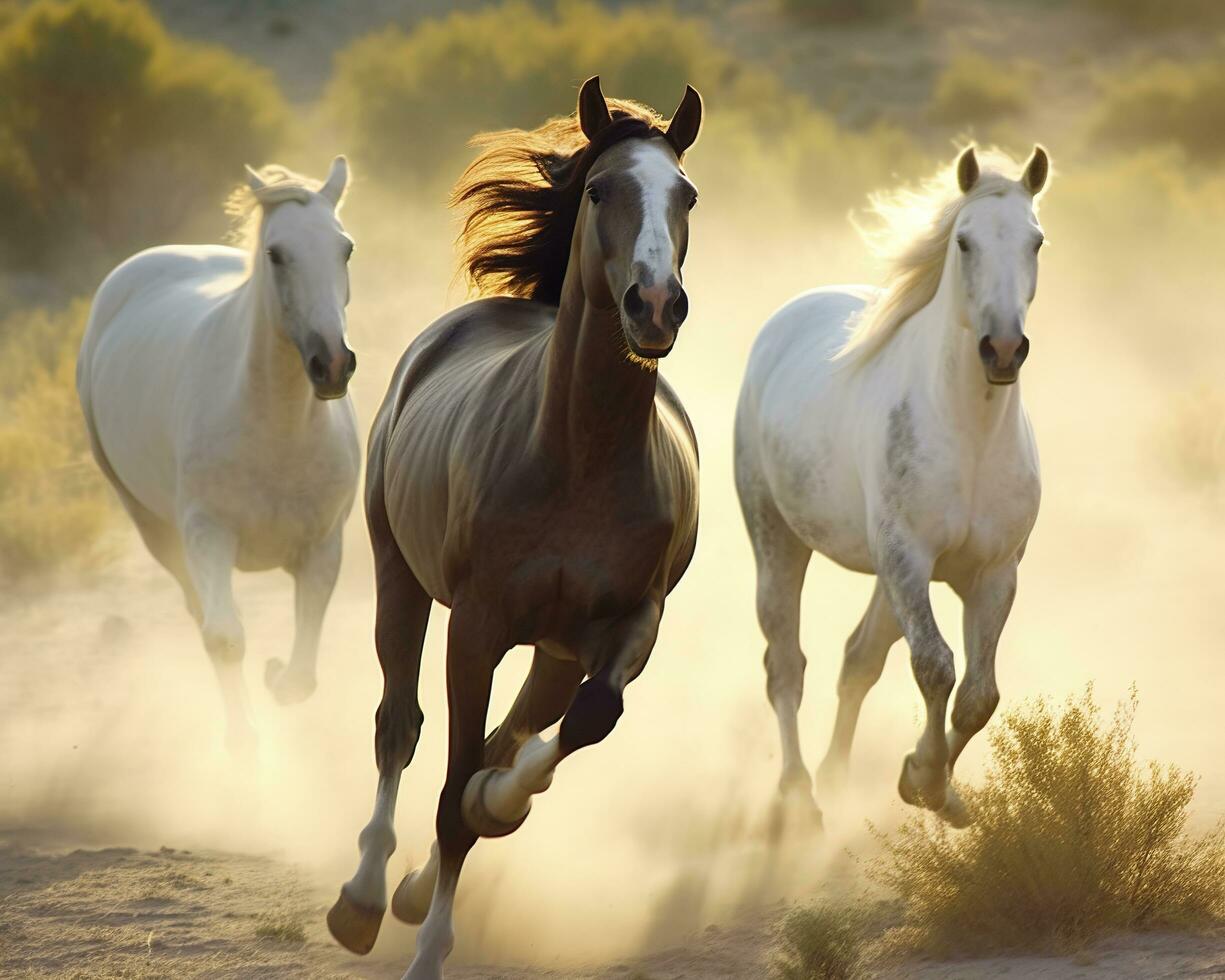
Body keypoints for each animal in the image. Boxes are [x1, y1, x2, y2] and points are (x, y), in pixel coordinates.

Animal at [76, 156, 360, 749]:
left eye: (345, 248)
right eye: (276, 253)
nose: (332, 365)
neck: (277, 432)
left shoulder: (324, 546)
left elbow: (301, 674)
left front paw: (276, 678)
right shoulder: (208, 534)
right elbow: (225, 638)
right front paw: (243, 741)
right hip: (155, 528)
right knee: (200, 613)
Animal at [325, 78, 705, 980]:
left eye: (686, 195)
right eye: (599, 190)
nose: (655, 305)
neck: (578, 457)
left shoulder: (627, 624)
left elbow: (571, 728)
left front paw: (496, 806)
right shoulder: (477, 626)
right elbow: (446, 781)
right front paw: (426, 952)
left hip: (555, 650)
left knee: (510, 732)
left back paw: (417, 877)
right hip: (399, 578)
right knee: (397, 726)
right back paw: (362, 898)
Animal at [730, 145, 1048, 828]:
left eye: (1036, 241)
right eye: (964, 241)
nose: (1003, 350)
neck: (971, 436)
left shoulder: (993, 573)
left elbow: (979, 695)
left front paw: (939, 792)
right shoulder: (908, 559)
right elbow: (935, 668)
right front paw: (923, 778)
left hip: (885, 573)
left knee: (858, 660)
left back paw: (834, 777)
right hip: (779, 540)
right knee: (785, 665)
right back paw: (800, 797)